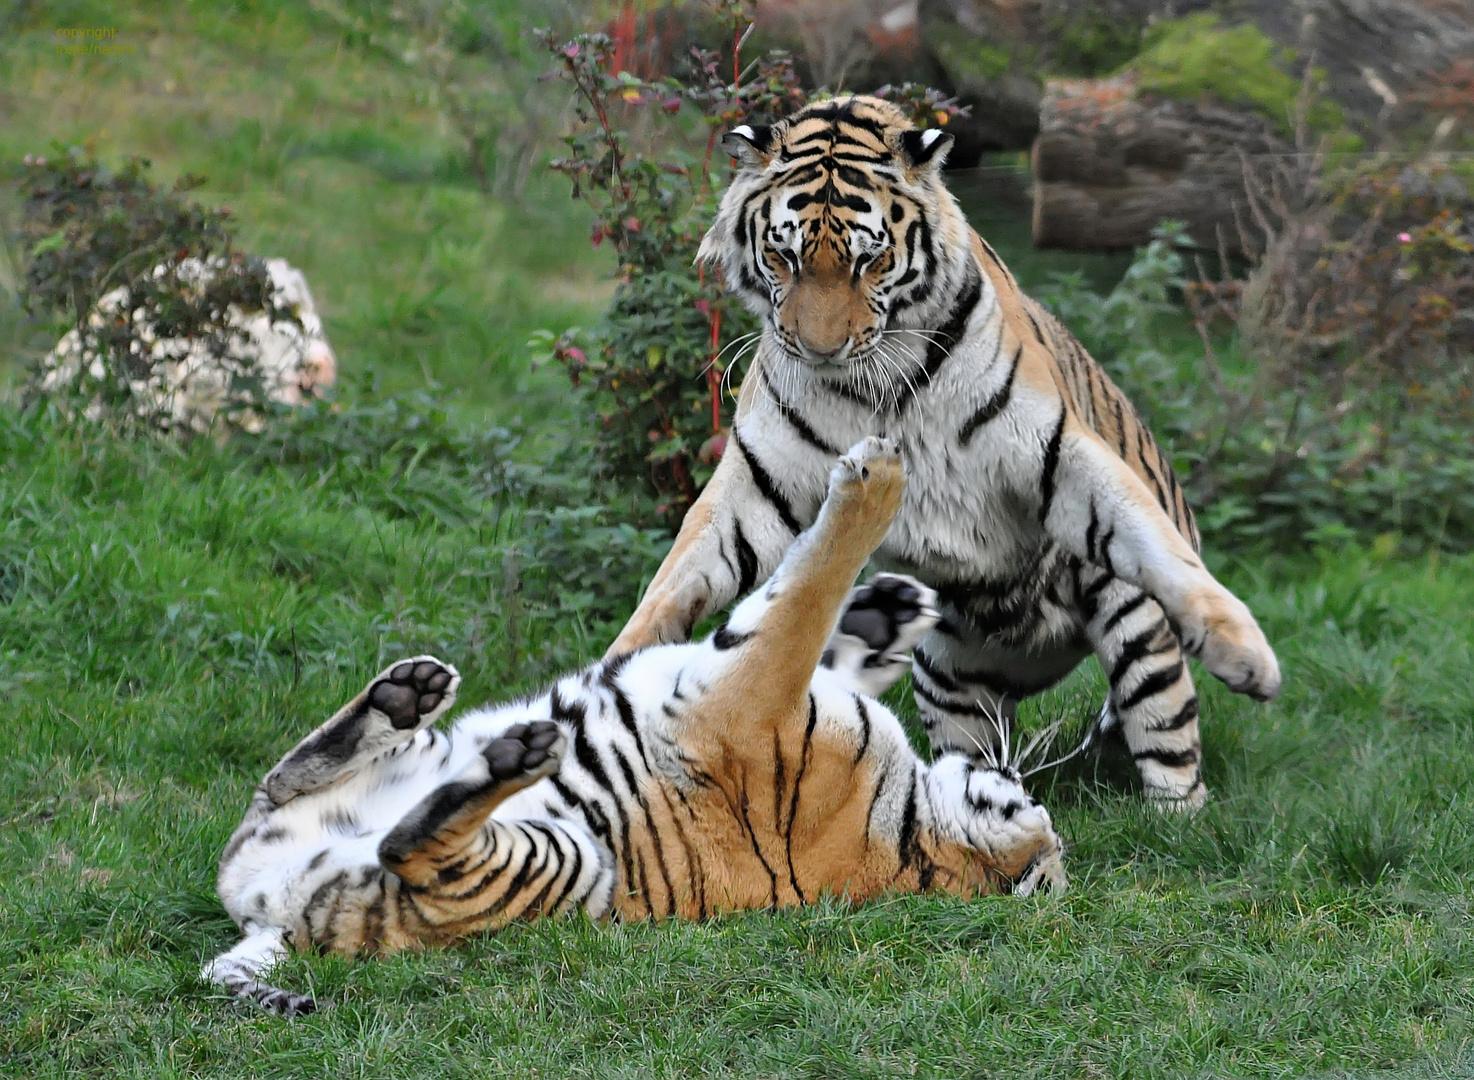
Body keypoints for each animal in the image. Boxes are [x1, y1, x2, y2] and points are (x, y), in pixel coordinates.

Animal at [205, 438, 1066, 1016]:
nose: (1023, 782)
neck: (916, 832)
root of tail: (268, 916)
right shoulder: (770, 687)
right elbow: (819, 621)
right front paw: (890, 608)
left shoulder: (751, 697)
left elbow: (803, 599)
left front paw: (878, 482)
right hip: (400, 774)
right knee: (281, 783)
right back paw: (406, 695)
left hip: (556, 862)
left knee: (405, 846)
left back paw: (513, 754)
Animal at [606, 95, 1281, 808]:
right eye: (783, 257)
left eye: (868, 261)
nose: (819, 349)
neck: (867, 380)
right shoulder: (759, 484)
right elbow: (679, 574)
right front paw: (619, 672)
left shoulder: (1054, 448)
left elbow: (1155, 543)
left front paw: (1248, 655)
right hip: (948, 667)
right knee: (971, 753)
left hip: (1126, 612)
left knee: (1165, 734)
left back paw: (1178, 810)